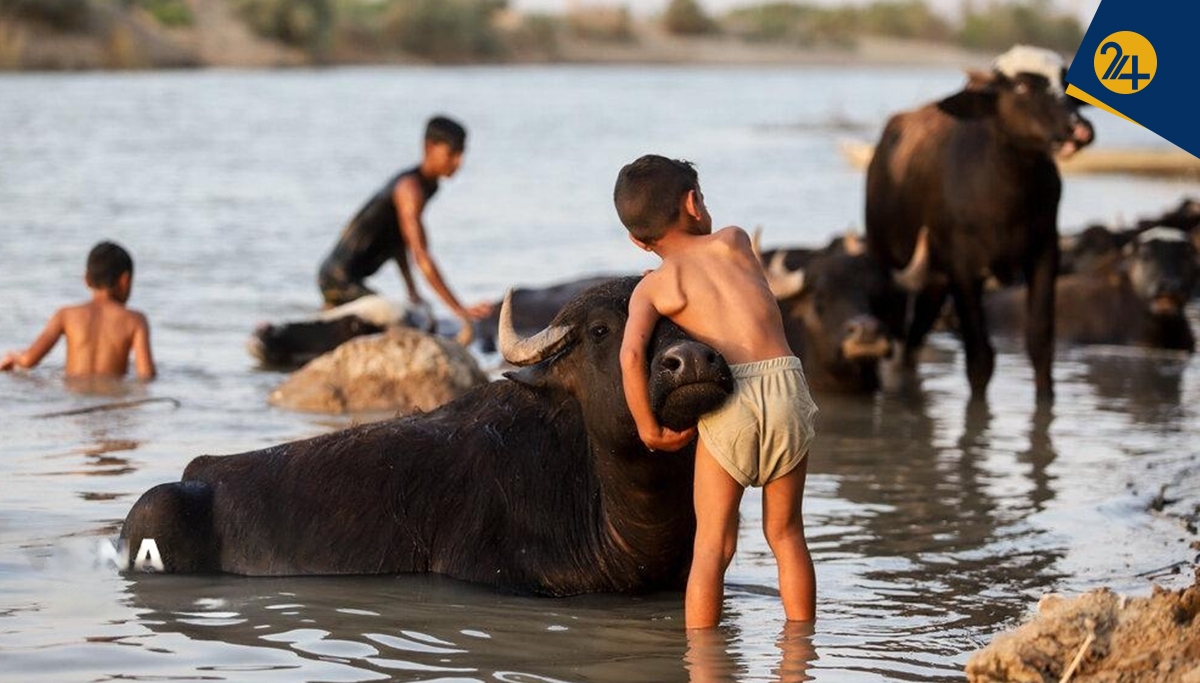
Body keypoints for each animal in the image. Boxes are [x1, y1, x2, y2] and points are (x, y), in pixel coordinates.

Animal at [864, 46, 1099, 398]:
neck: (1008, 199)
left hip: (935, 282)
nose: (1080, 129)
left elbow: (1040, 345)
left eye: (1065, 83)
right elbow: (979, 357)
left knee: (916, 335)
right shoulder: (963, 268)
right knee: (903, 338)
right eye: (1021, 87)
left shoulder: (1045, 253)